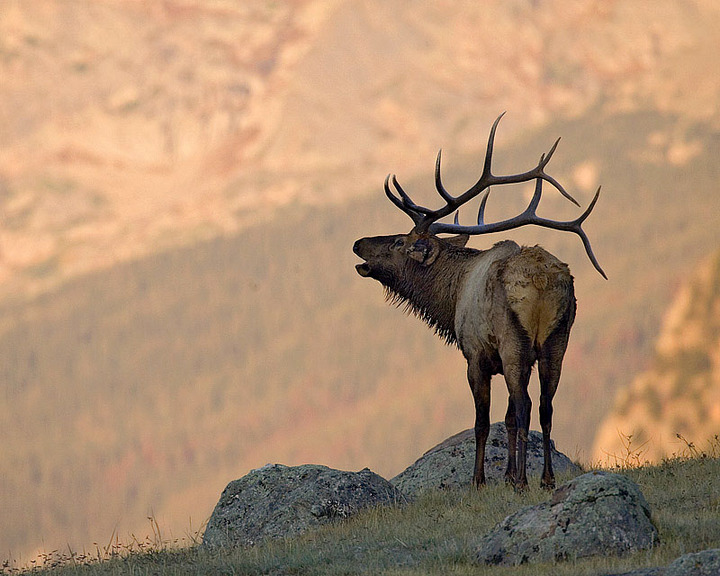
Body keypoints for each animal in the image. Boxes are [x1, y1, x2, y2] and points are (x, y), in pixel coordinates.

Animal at [353, 114, 605, 491]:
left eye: (399, 241)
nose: (358, 243)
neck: (450, 298)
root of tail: (543, 282)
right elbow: (508, 420)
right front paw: (506, 474)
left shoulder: (476, 355)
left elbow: (484, 421)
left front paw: (482, 479)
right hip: (557, 340)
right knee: (545, 406)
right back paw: (545, 479)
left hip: (515, 341)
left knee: (525, 405)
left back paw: (524, 480)